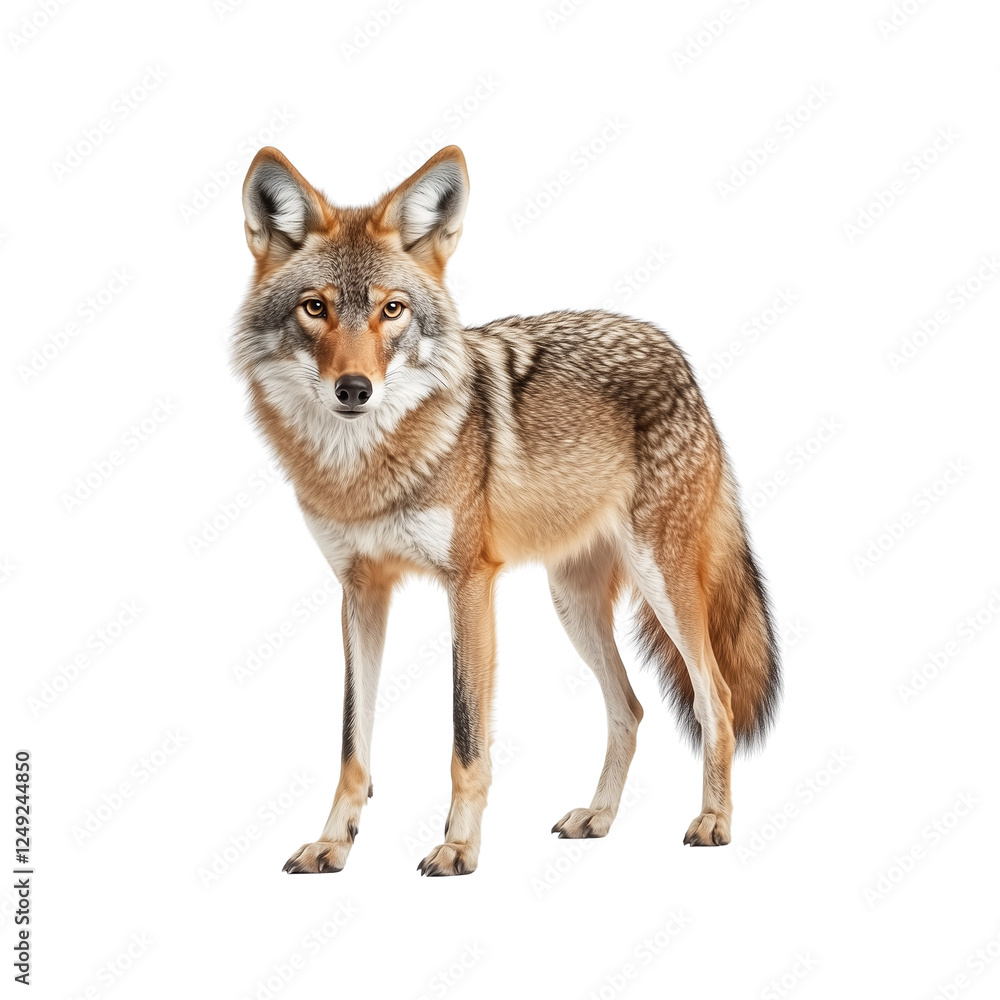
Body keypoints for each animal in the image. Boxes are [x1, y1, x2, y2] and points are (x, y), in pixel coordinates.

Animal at [231, 145, 780, 876]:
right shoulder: (359, 590)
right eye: (314, 308)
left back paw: (714, 821)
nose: (354, 389)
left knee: (712, 697)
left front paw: (459, 847)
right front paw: (333, 842)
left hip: (663, 586)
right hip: (571, 604)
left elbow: (467, 738)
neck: (363, 470)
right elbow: (353, 741)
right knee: (631, 708)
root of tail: (676, 354)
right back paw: (598, 817)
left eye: (392, 309)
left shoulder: (469, 584)